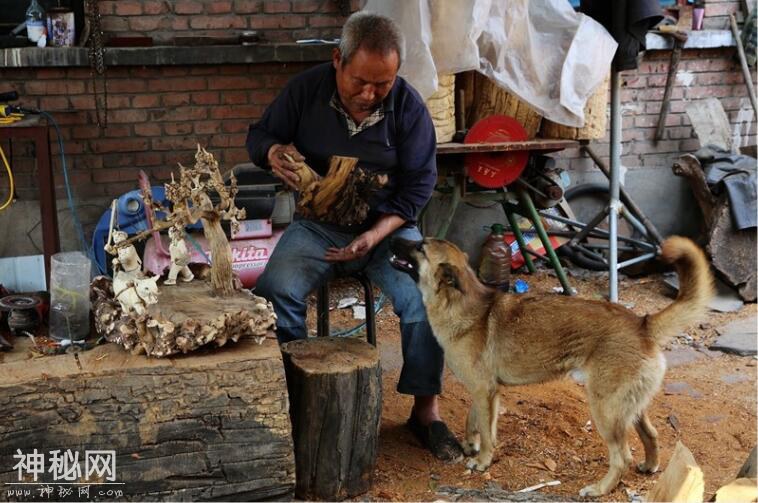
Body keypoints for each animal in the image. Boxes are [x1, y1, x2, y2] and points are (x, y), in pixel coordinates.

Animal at [388, 236, 716, 496]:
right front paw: (471, 445)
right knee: (652, 434)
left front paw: (481, 461)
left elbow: (487, 432)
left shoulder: (483, 391)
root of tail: (643, 324)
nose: (393, 237)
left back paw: (599, 489)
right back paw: (650, 465)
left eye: (420, 246)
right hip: (629, 407)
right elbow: (476, 422)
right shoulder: (486, 391)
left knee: (621, 457)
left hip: (605, 410)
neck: (461, 304)